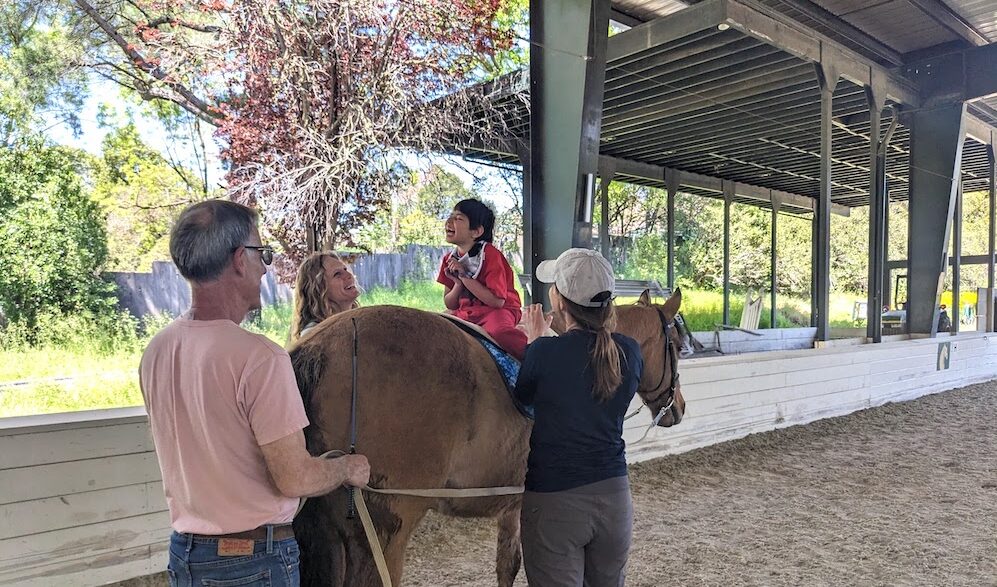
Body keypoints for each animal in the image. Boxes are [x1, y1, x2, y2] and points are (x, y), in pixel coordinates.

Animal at [284, 290, 680, 587]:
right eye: (676, 343)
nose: (677, 409)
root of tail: (319, 346)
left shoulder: (514, 502)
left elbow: (507, 565)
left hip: (326, 535)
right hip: (384, 535)